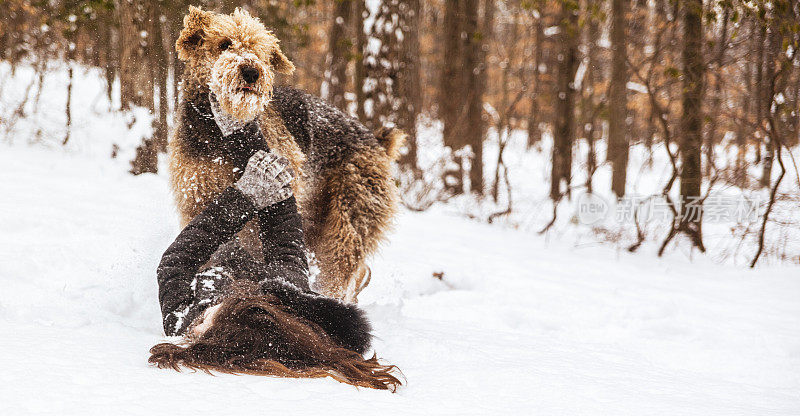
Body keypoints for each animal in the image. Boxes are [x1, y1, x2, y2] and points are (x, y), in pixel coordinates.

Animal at [170, 7, 406, 302]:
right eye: (224, 43)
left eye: (260, 52)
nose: (251, 71)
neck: (217, 135)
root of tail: (377, 140)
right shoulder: (198, 196)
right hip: (316, 225)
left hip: (347, 223)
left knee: (342, 270)